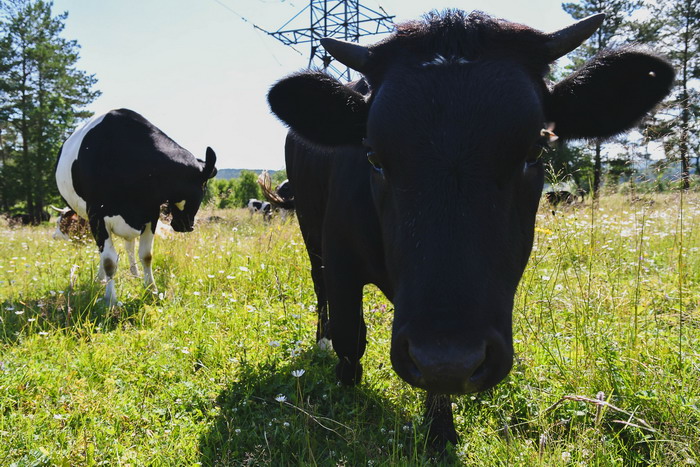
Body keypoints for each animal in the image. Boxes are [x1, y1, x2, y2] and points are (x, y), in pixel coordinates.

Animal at [55, 109, 216, 308]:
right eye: (204, 185)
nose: (186, 226)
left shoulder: (150, 215)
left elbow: (146, 255)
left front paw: (152, 290)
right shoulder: (97, 217)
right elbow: (109, 261)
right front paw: (111, 300)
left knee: (130, 246)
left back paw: (135, 274)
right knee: (104, 252)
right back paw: (101, 279)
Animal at [268, 9, 672, 452]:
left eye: (536, 150)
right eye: (373, 155)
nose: (450, 358)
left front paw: (440, 429)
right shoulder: (341, 256)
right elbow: (350, 335)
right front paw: (347, 381)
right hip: (310, 229)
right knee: (319, 286)